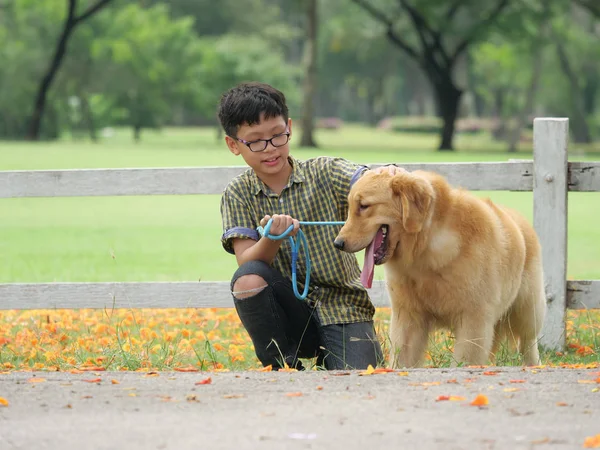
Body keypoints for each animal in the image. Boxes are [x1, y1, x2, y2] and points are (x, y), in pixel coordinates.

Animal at [336, 171, 548, 368]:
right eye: (351, 206)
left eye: (364, 206)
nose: (338, 243)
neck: (427, 246)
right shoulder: (408, 316)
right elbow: (401, 358)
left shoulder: (474, 319)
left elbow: (465, 359)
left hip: (528, 310)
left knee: (528, 342)